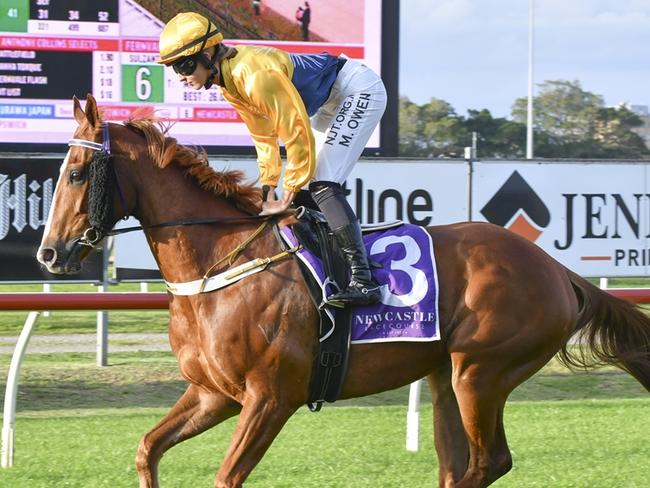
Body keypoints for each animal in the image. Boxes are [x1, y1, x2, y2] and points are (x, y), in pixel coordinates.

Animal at [36, 93, 648, 486]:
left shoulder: (270, 397)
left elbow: (225, 477)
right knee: (459, 467)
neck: (219, 265)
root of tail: (556, 270)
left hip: (483, 372)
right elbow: (147, 450)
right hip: (446, 374)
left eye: (75, 173)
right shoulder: (213, 394)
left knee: (487, 463)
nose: (49, 253)